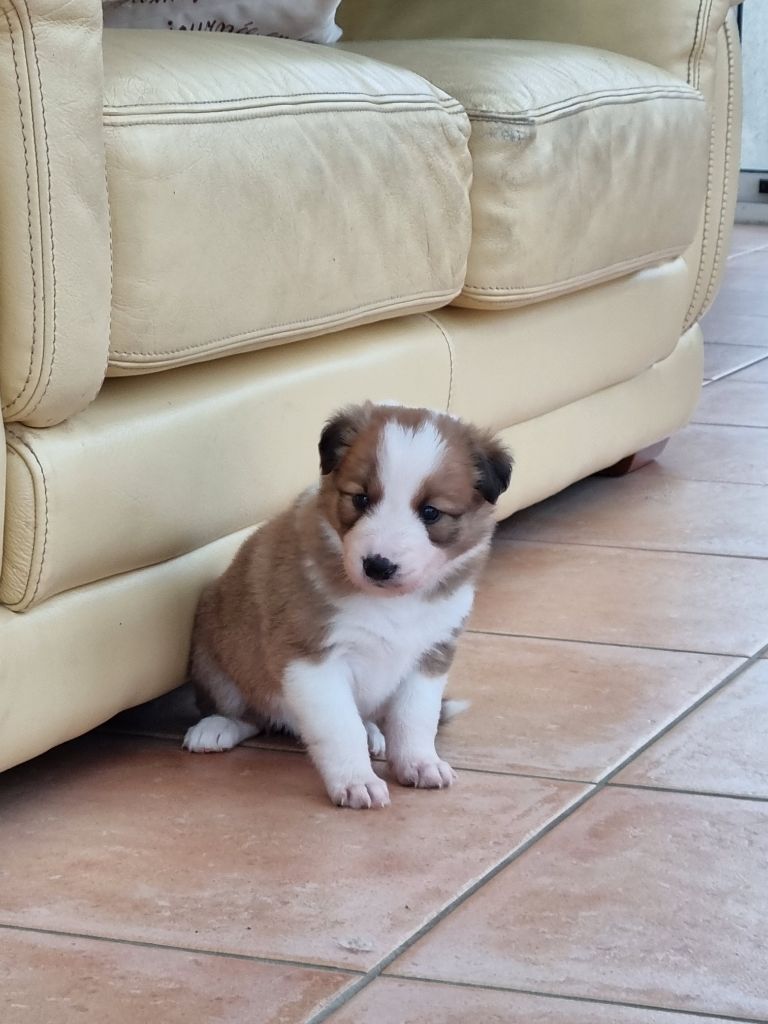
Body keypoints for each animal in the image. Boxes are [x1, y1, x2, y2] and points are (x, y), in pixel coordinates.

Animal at [183, 402, 512, 809]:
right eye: (361, 499)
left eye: (431, 512)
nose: (378, 565)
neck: (393, 603)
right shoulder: (311, 658)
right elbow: (341, 728)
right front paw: (357, 782)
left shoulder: (431, 654)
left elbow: (415, 717)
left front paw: (420, 763)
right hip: (215, 654)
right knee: (248, 712)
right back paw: (215, 728)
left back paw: (374, 733)